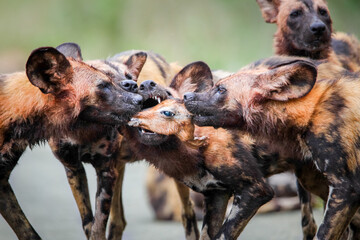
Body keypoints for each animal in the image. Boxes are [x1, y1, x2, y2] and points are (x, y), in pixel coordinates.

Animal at [0, 43, 143, 240]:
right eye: (103, 85)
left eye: (129, 78)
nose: (139, 97)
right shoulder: (73, 169)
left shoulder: (105, 171)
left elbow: (96, 226)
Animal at [184, 56, 360, 240]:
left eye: (221, 89)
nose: (186, 95)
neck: (310, 111)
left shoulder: (346, 189)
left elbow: (323, 233)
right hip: (311, 181)